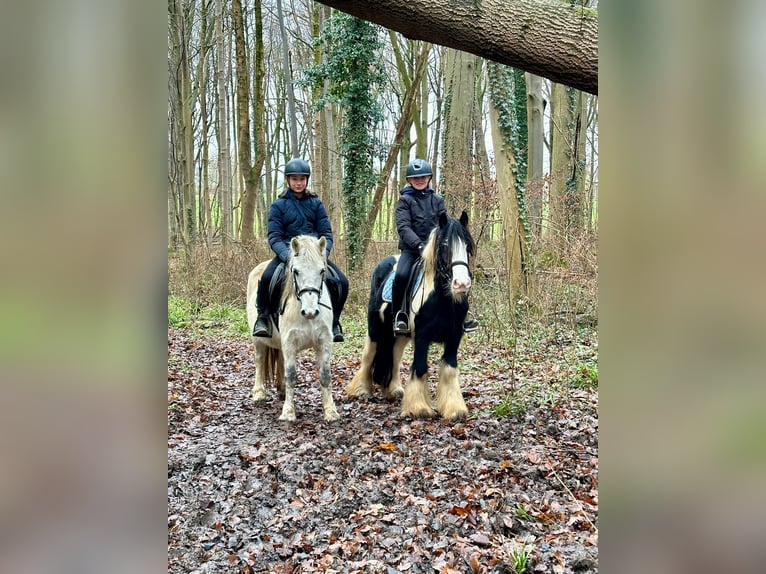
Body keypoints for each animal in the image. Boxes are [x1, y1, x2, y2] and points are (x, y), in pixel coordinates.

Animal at [248, 235, 340, 424]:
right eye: (296, 271)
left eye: (322, 271)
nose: (310, 312)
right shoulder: (289, 343)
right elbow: (291, 376)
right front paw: (288, 413)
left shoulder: (324, 342)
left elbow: (325, 376)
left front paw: (330, 411)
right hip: (258, 340)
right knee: (260, 360)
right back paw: (259, 393)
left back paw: (281, 389)